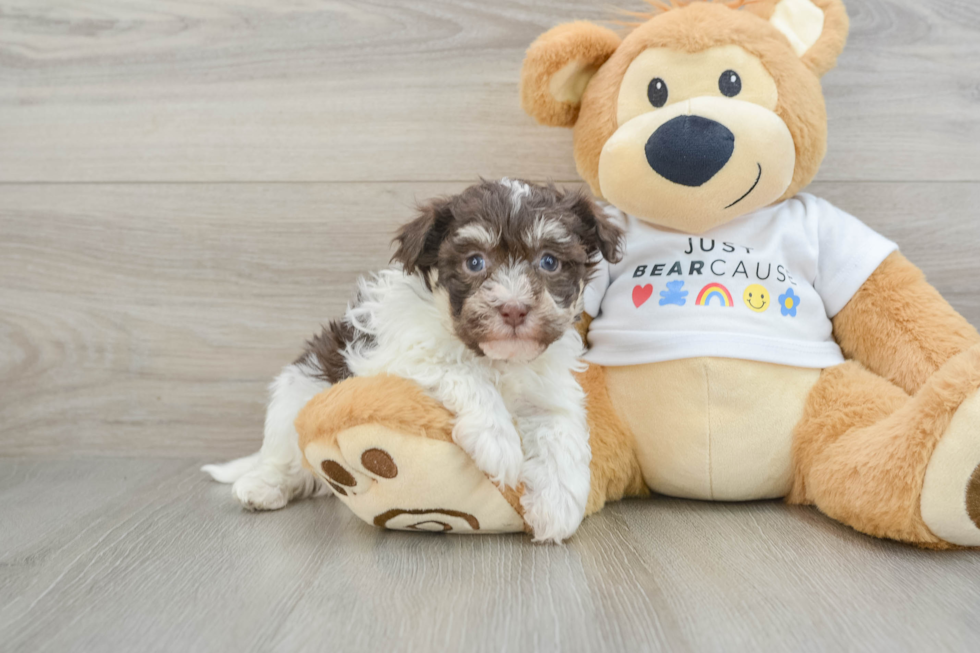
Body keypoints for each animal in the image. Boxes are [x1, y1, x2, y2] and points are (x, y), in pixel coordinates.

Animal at [203, 178, 624, 540]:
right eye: (474, 262)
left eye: (549, 262)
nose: (514, 309)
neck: (495, 359)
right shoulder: (388, 357)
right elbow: (458, 369)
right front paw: (497, 440)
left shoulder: (548, 389)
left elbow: (561, 431)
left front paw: (557, 507)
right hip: (298, 389)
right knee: (286, 458)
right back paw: (263, 485)